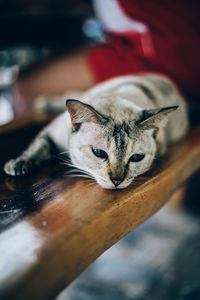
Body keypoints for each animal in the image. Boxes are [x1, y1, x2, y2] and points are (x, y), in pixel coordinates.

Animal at [3, 74, 189, 189]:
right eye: (99, 153)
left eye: (137, 157)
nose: (116, 181)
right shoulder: (52, 131)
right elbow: (37, 148)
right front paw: (18, 164)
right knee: (69, 95)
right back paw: (44, 103)